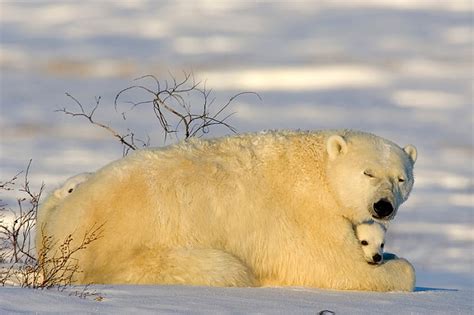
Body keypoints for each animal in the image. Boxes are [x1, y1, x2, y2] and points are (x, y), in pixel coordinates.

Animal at [37, 130, 416, 292]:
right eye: (368, 172)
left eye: (401, 178)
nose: (383, 206)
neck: (319, 169)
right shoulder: (307, 214)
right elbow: (336, 268)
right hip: (134, 253)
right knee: (225, 268)